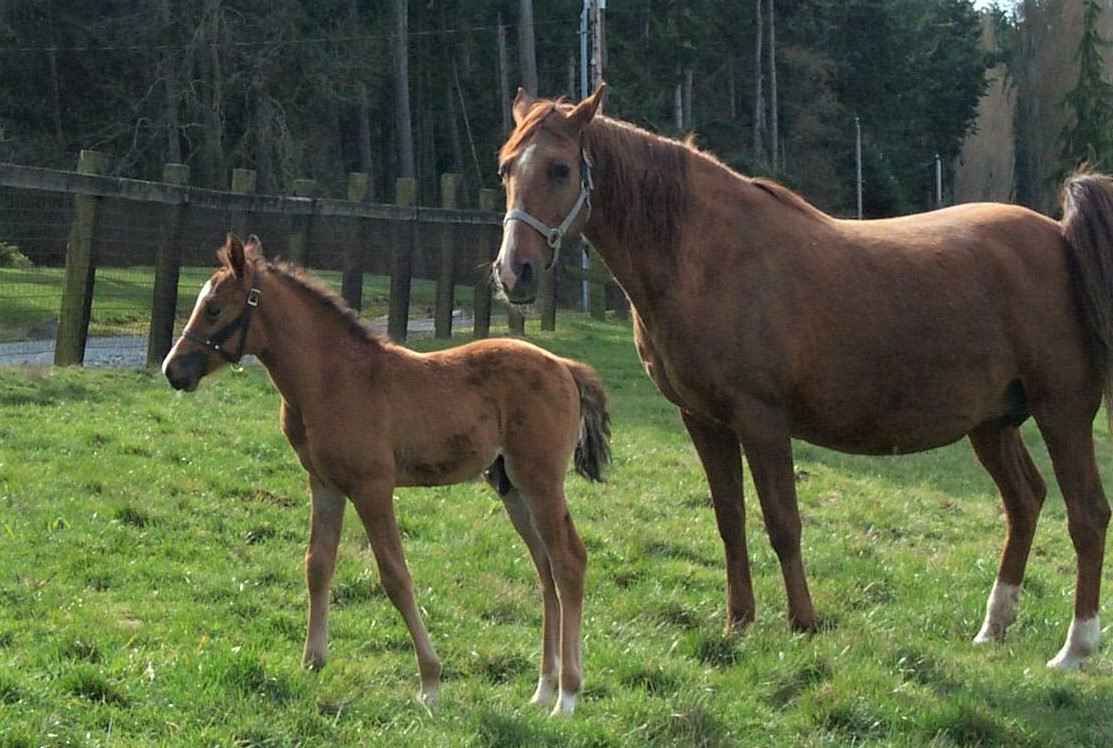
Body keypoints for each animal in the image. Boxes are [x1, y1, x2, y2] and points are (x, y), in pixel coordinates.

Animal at [162, 234, 611, 716]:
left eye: (213, 308)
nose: (173, 369)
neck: (332, 380)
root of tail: (564, 366)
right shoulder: (324, 483)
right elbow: (317, 564)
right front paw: (312, 661)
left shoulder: (372, 487)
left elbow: (395, 575)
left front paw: (430, 682)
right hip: (510, 486)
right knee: (545, 569)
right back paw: (543, 688)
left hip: (540, 481)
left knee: (569, 562)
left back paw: (567, 696)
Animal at [493, 84, 1113, 671]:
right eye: (505, 168)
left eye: (560, 168)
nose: (512, 272)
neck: (706, 259)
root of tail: (1058, 236)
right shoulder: (703, 420)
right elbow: (730, 520)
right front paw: (739, 622)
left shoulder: (762, 421)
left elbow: (783, 523)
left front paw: (804, 624)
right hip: (992, 423)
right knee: (1025, 502)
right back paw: (994, 628)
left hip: (1062, 413)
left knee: (1087, 515)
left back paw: (1075, 649)